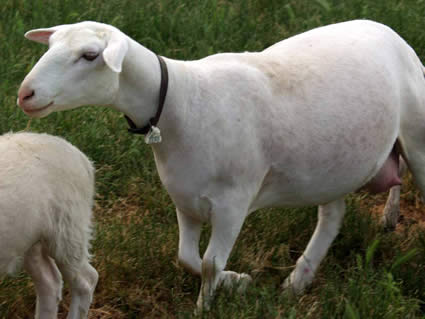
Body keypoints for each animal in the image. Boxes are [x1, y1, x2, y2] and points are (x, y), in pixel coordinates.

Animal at [16, 20, 424, 312]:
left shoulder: (234, 202)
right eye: (51, 46)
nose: (25, 94)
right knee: (333, 215)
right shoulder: (186, 199)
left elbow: (210, 263)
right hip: (332, 164)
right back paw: (297, 281)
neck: (182, 102)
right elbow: (187, 258)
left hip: (416, 138)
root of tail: (384, 28)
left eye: (89, 56)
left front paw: (207, 304)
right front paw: (237, 280)